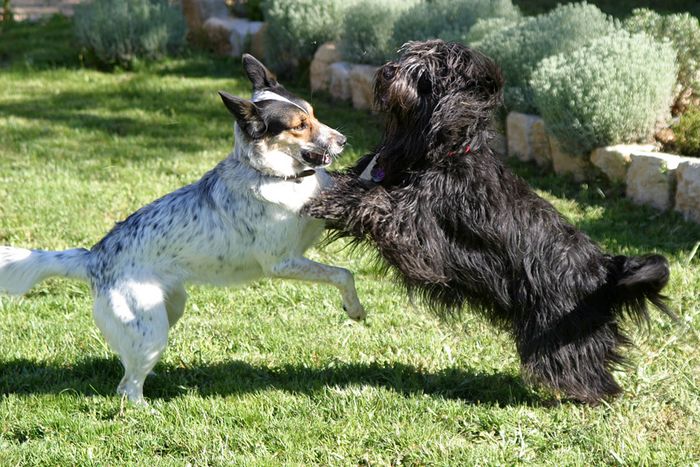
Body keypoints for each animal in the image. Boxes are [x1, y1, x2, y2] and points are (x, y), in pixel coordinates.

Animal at [0, 54, 364, 404]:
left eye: (314, 114)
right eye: (300, 126)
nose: (344, 141)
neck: (273, 175)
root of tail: (93, 257)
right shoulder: (282, 263)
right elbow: (342, 273)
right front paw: (355, 308)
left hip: (170, 308)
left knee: (126, 369)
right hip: (151, 328)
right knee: (127, 388)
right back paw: (147, 409)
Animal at [304, 41, 668, 406]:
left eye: (427, 75)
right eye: (407, 56)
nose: (389, 71)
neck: (443, 153)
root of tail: (605, 269)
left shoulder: (418, 236)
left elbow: (377, 202)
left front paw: (329, 202)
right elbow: (356, 184)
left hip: (561, 329)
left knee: (585, 369)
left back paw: (589, 397)